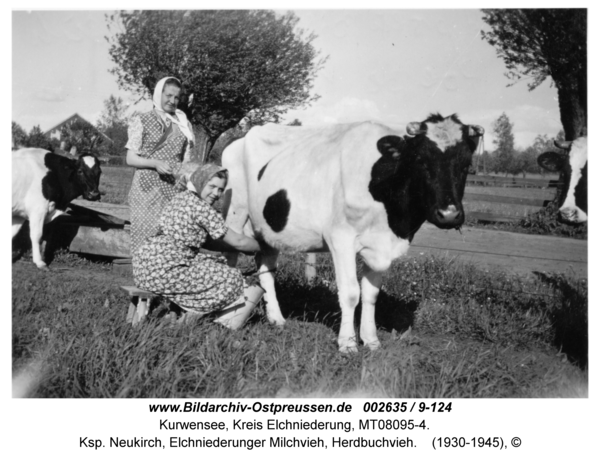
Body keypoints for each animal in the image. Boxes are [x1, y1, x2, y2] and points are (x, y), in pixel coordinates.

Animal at [223, 114, 486, 352]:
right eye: (421, 161)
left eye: (466, 165)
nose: (449, 214)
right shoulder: (341, 239)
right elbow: (350, 293)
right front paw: (348, 344)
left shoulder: (380, 245)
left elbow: (370, 294)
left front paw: (371, 340)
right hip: (234, 215)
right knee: (230, 258)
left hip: (267, 232)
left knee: (266, 271)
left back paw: (276, 319)